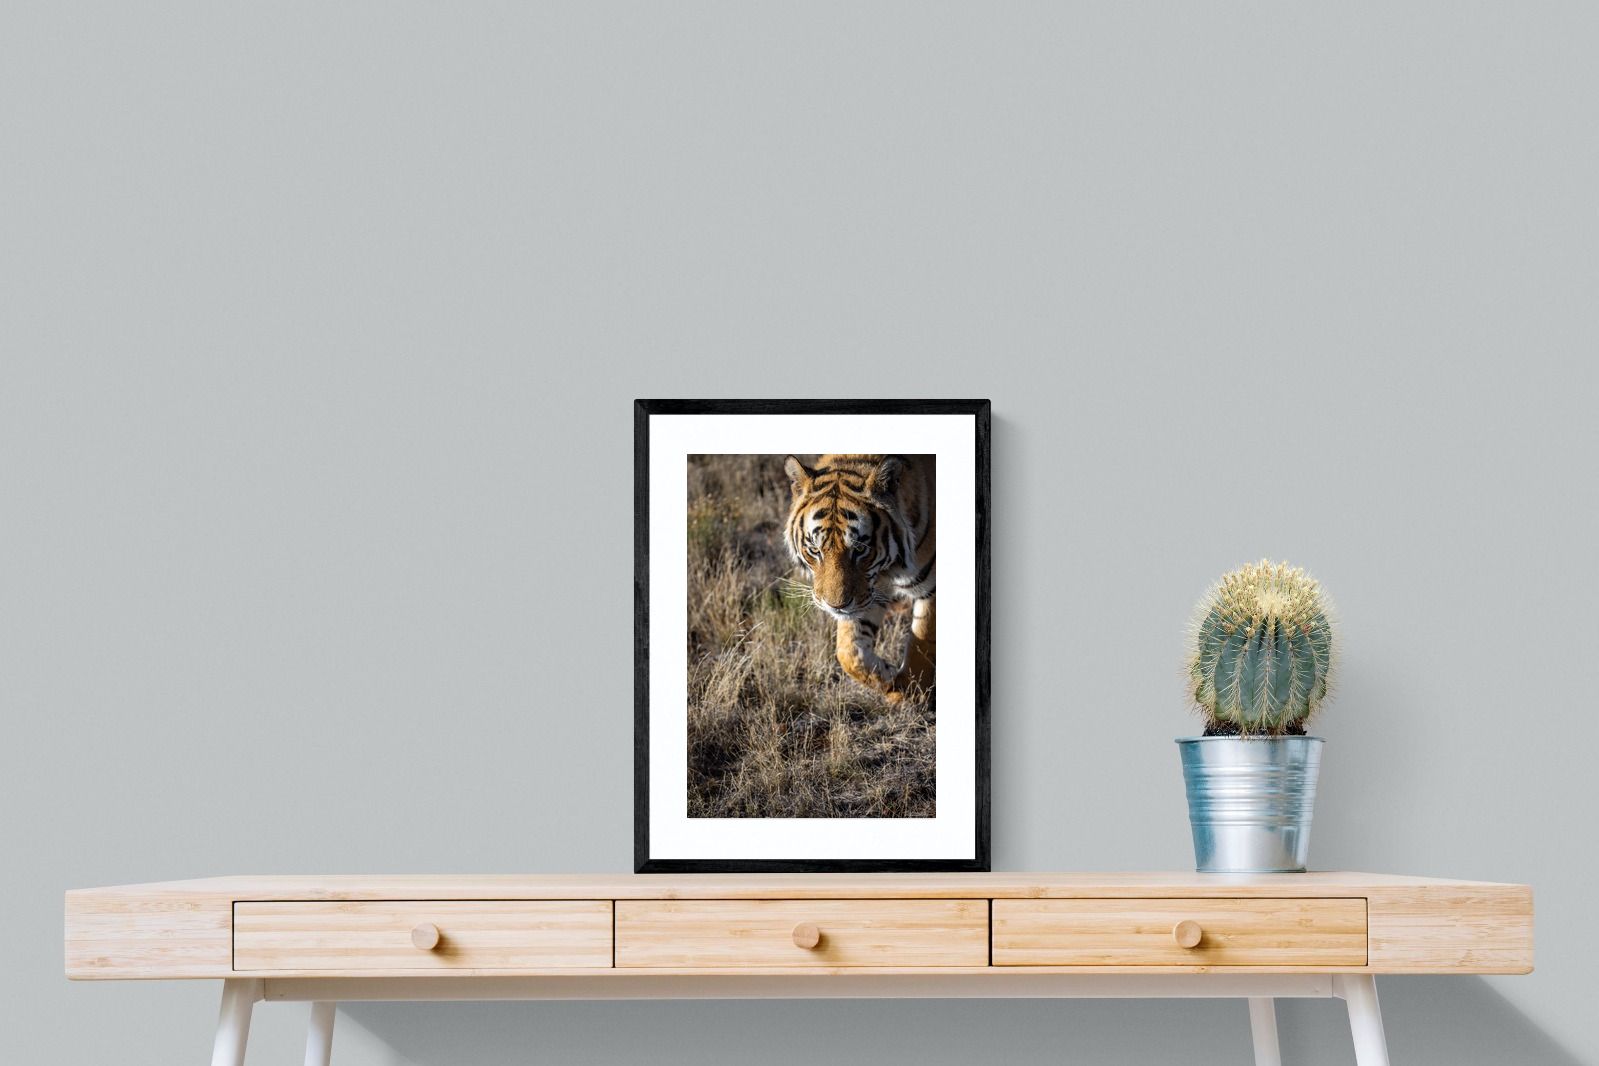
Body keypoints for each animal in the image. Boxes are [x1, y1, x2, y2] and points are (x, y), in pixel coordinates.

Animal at [782, 454, 935, 702]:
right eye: (815, 550)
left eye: (860, 549)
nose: (836, 606)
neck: (887, 570)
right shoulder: (867, 594)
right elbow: (848, 652)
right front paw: (890, 679)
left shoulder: (930, 588)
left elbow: (921, 641)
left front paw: (912, 692)